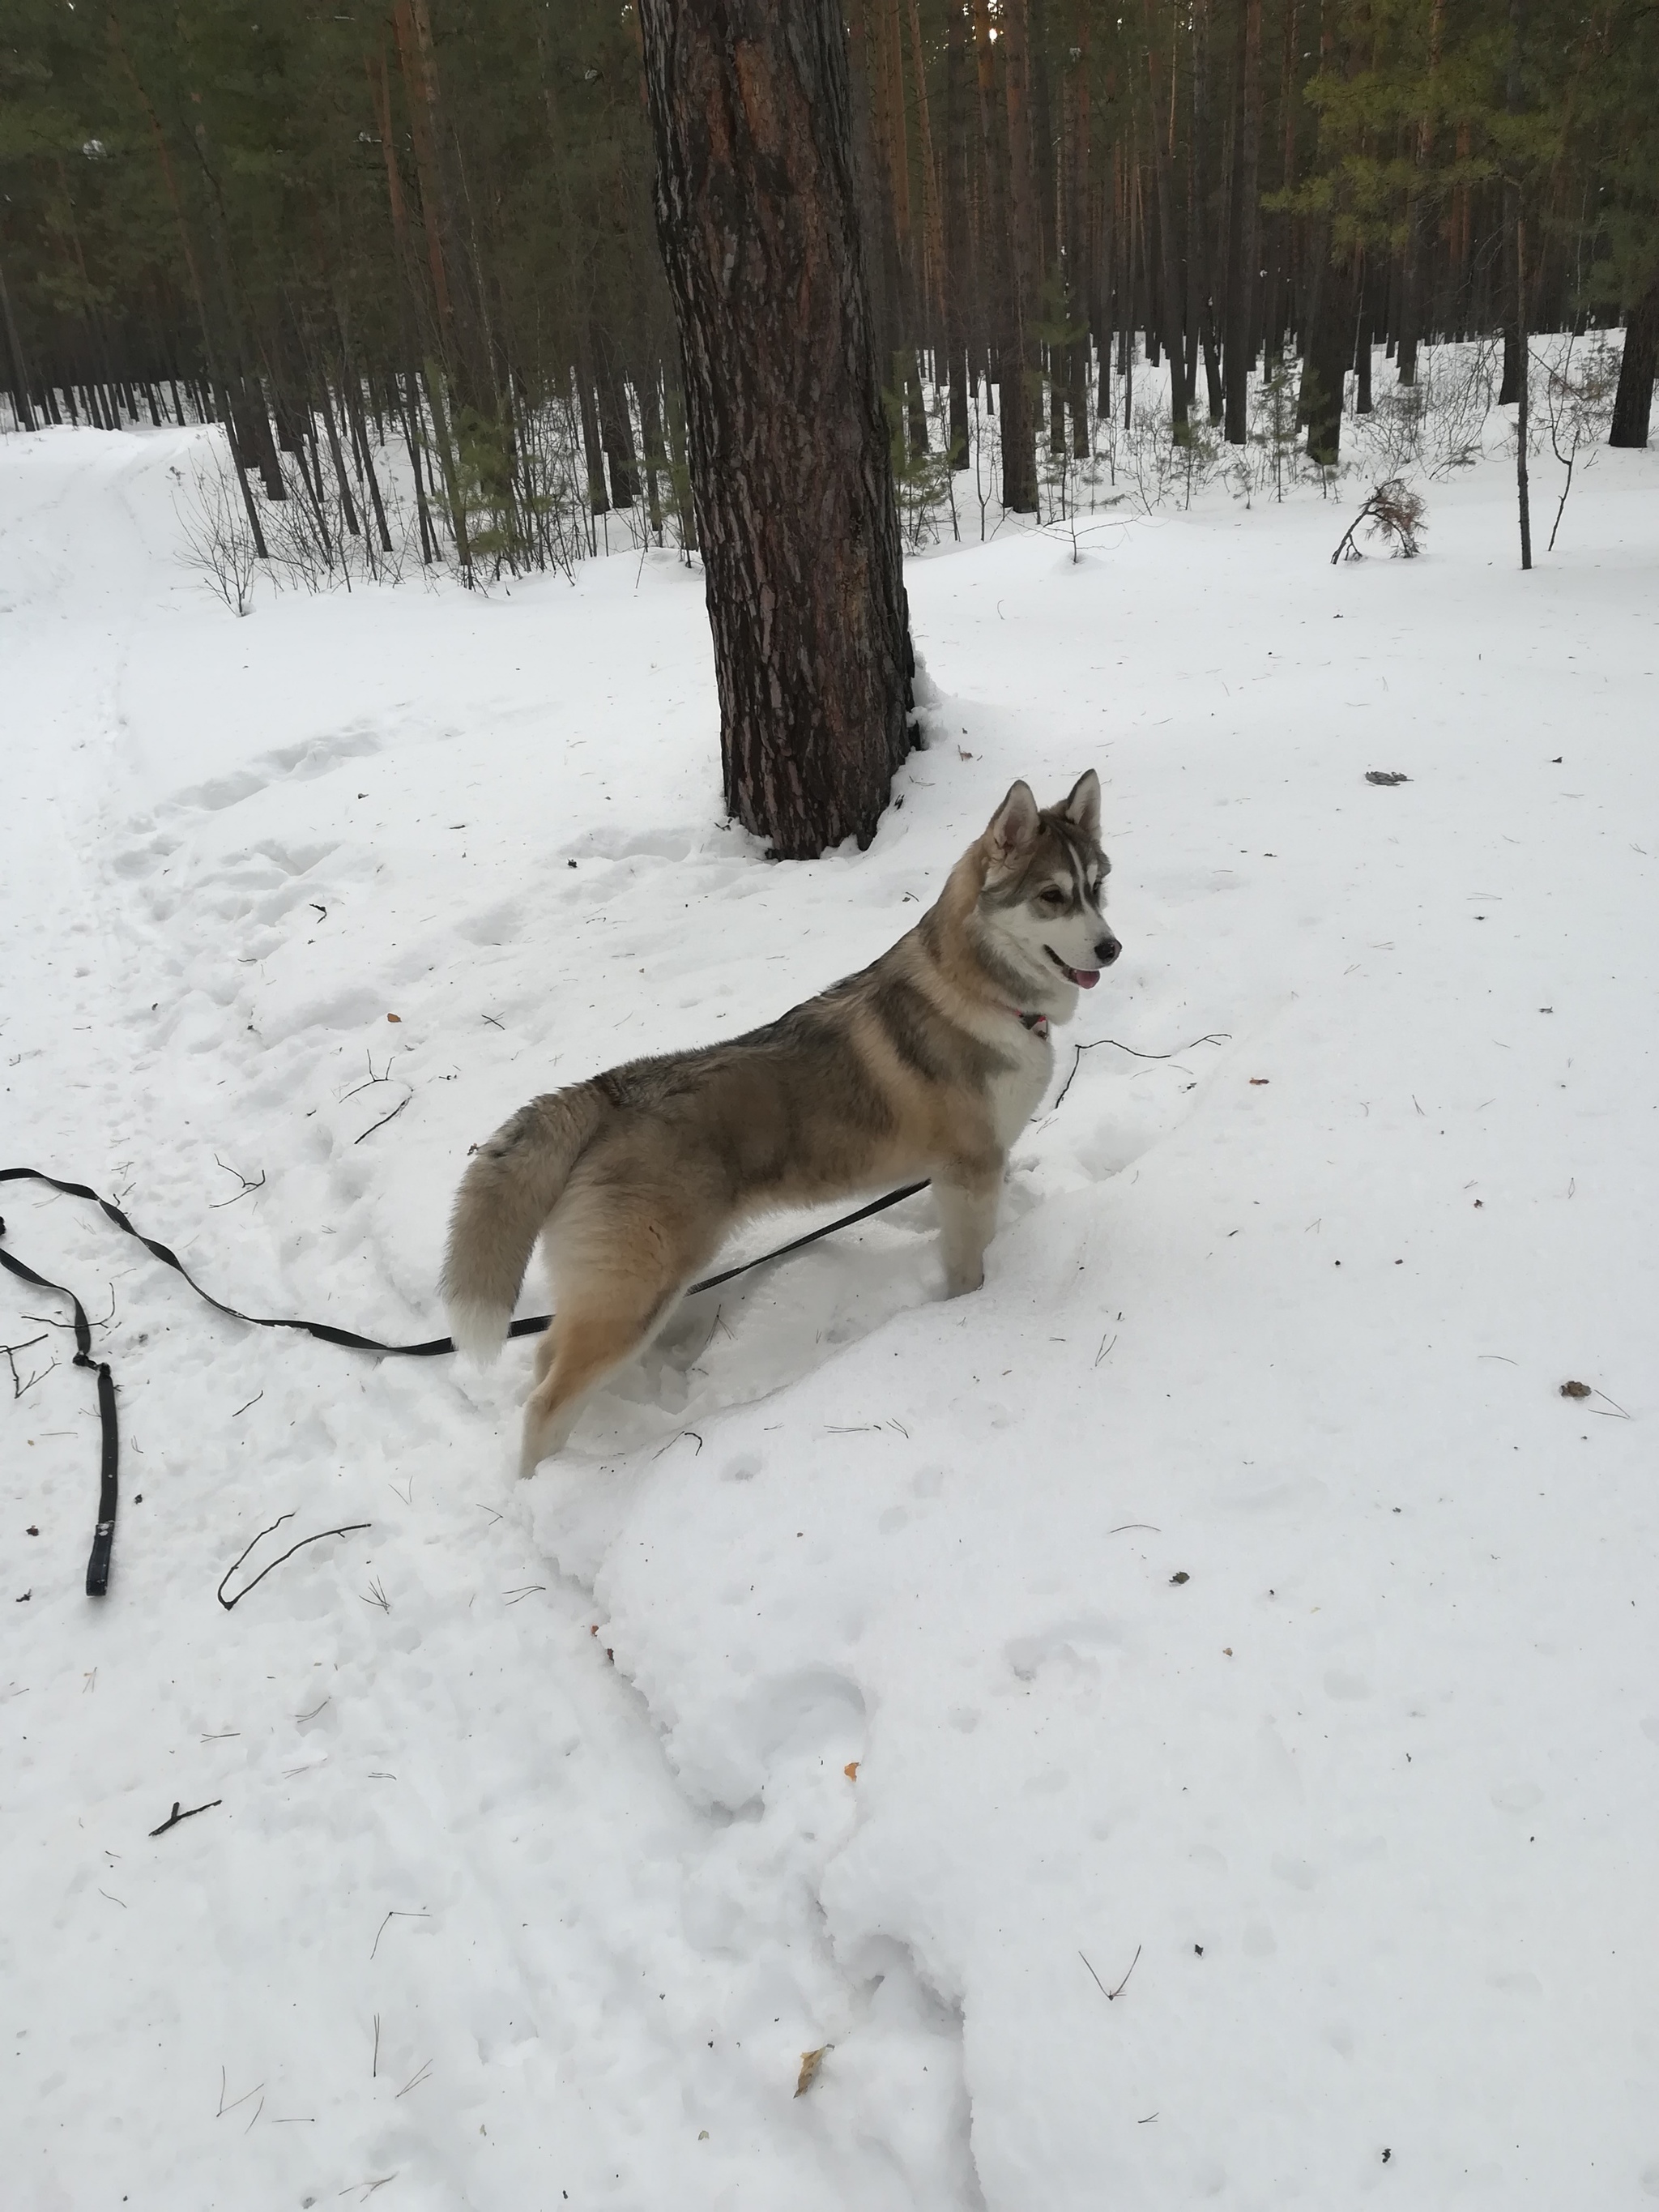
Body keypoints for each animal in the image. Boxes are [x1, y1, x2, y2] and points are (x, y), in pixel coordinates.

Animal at [442, 770, 1124, 1477]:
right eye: (1051, 896)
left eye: (1097, 886)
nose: (1111, 947)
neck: (979, 994)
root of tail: (605, 1091)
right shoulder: (969, 1172)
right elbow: (969, 1265)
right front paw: (971, 1312)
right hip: (634, 1296)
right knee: (545, 1404)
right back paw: (540, 1485)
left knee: (547, 1356)